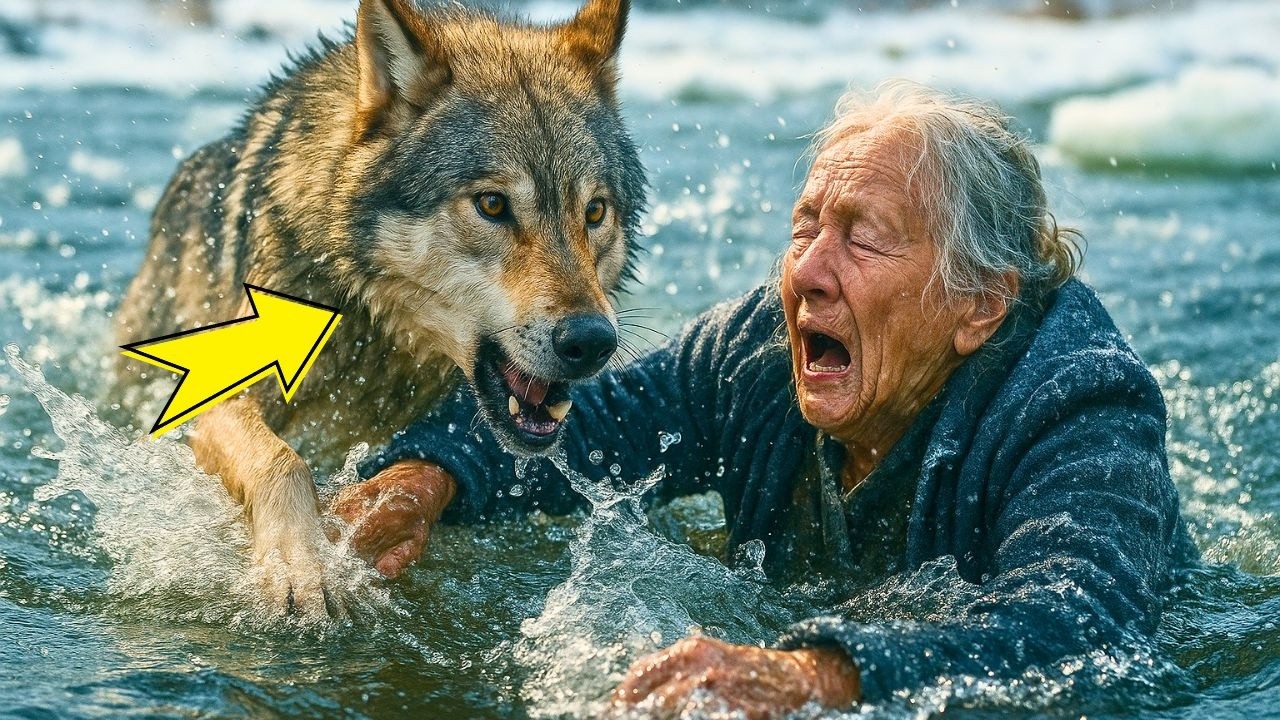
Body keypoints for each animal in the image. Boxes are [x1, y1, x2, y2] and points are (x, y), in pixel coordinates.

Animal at [112, 0, 644, 616]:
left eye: (595, 212)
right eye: (492, 204)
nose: (592, 341)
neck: (374, 338)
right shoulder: (217, 399)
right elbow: (283, 462)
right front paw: (302, 564)